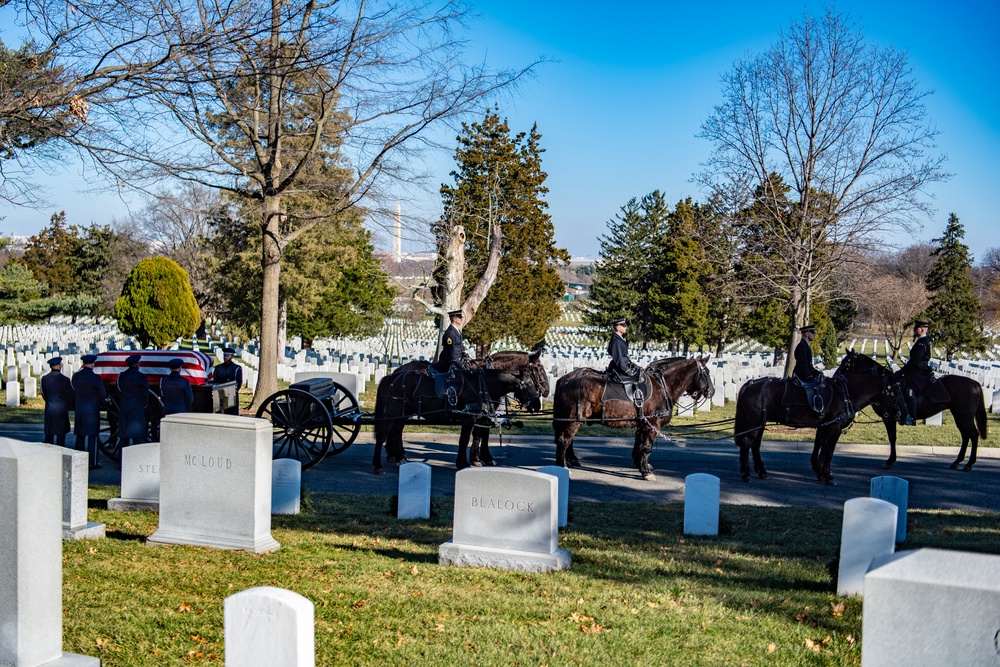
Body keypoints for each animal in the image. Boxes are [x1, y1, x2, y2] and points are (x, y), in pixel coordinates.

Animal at [552, 354, 716, 480]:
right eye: (706, 372)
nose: (712, 391)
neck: (663, 386)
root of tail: (565, 380)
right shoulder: (652, 424)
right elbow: (646, 448)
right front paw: (646, 471)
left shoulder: (643, 425)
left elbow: (639, 447)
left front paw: (641, 465)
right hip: (573, 419)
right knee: (564, 440)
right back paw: (563, 466)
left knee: (568, 440)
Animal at [732, 350, 904, 486]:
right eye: (896, 391)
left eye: (846, 364)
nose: (899, 412)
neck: (845, 393)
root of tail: (749, 384)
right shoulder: (834, 427)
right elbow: (829, 450)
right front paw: (827, 476)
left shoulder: (826, 427)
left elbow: (823, 447)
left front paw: (821, 473)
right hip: (753, 424)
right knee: (747, 443)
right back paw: (746, 474)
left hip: (759, 424)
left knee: (755, 445)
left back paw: (761, 471)